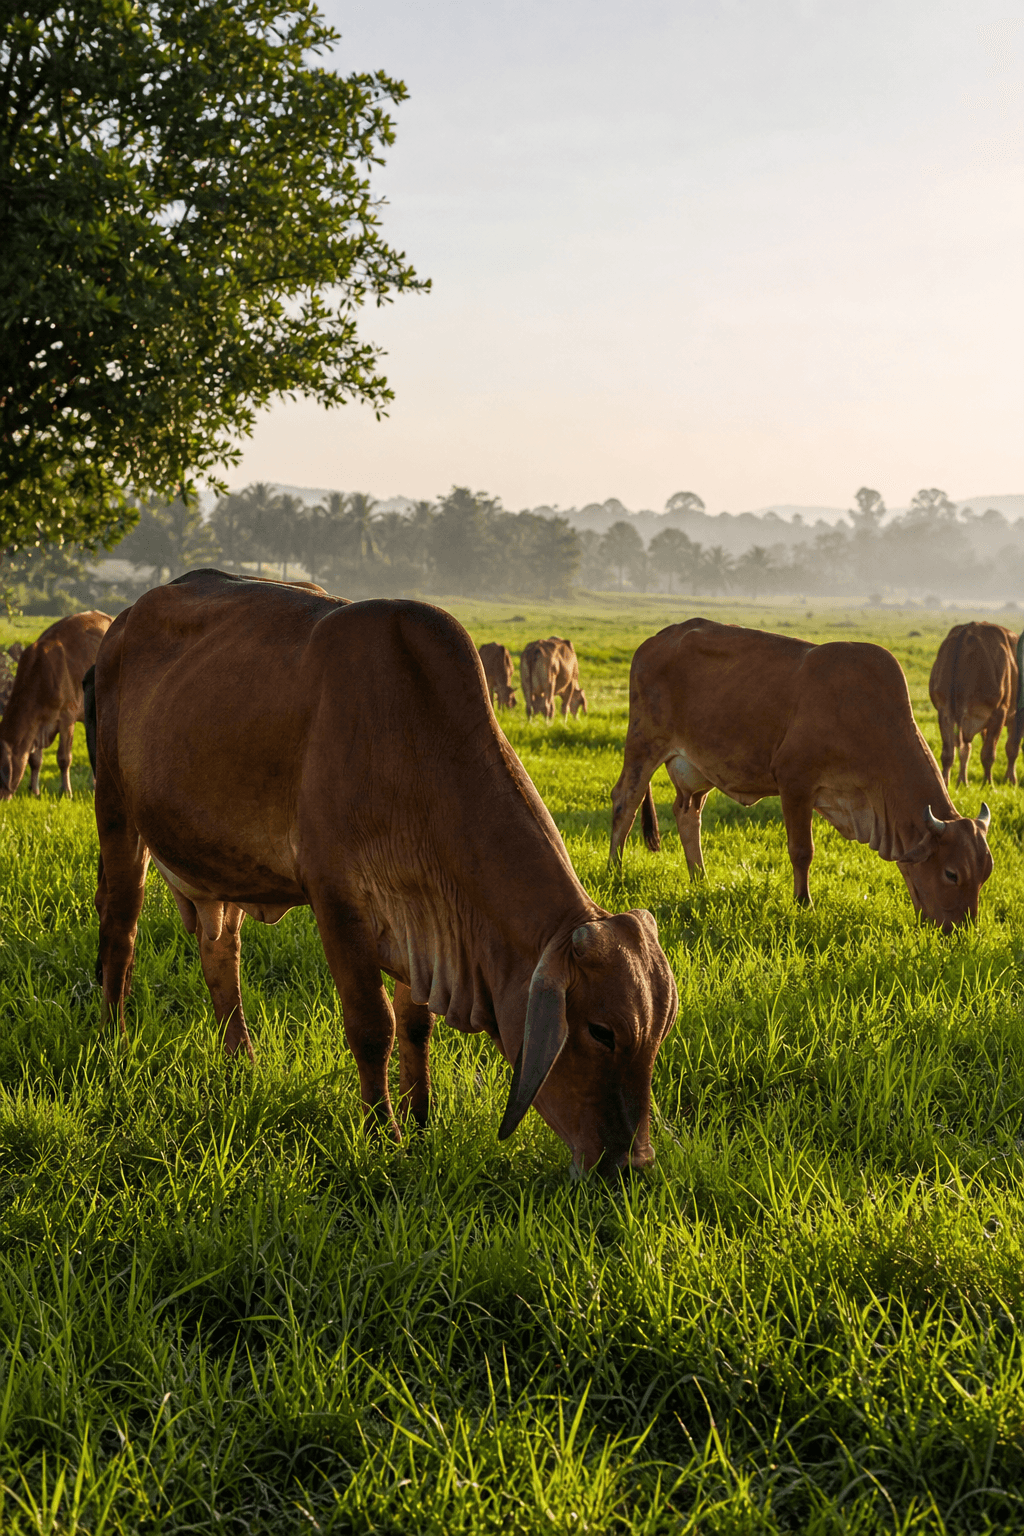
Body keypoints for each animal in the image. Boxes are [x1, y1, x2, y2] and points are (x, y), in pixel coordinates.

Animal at [0, 611, 112, 799]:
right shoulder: (36, 725)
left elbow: (63, 758)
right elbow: (35, 760)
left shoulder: (67, 717)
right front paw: (35, 791)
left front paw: (66, 791)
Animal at [90, 571, 677, 1174]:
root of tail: (121, 623)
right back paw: (115, 1037)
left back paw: (242, 1063)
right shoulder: (337, 901)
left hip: (221, 868)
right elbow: (374, 1027)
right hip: (114, 807)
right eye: (602, 1032)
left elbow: (416, 1026)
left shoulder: (419, 917)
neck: (419, 744)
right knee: (120, 930)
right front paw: (383, 1134)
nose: (633, 1165)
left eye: (659, 1036)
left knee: (220, 957)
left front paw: (421, 1121)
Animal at [609, 618, 993, 932]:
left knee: (688, 814)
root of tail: (655, 640)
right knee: (624, 803)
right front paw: (803, 903)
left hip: (697, 768)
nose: (960, 931)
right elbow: (802, 851)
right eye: (951, 873)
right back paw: (615, 873)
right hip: (644, 743)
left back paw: (700, 879)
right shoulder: (795, 783)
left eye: (985, 873)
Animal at [928, 622, 1021, 787]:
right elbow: (949, 754)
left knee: (1012, 748)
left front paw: (988, 785)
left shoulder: (999, 712)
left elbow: (989, 753)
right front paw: (947, 782)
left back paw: (1010, 780)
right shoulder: (944, 711)